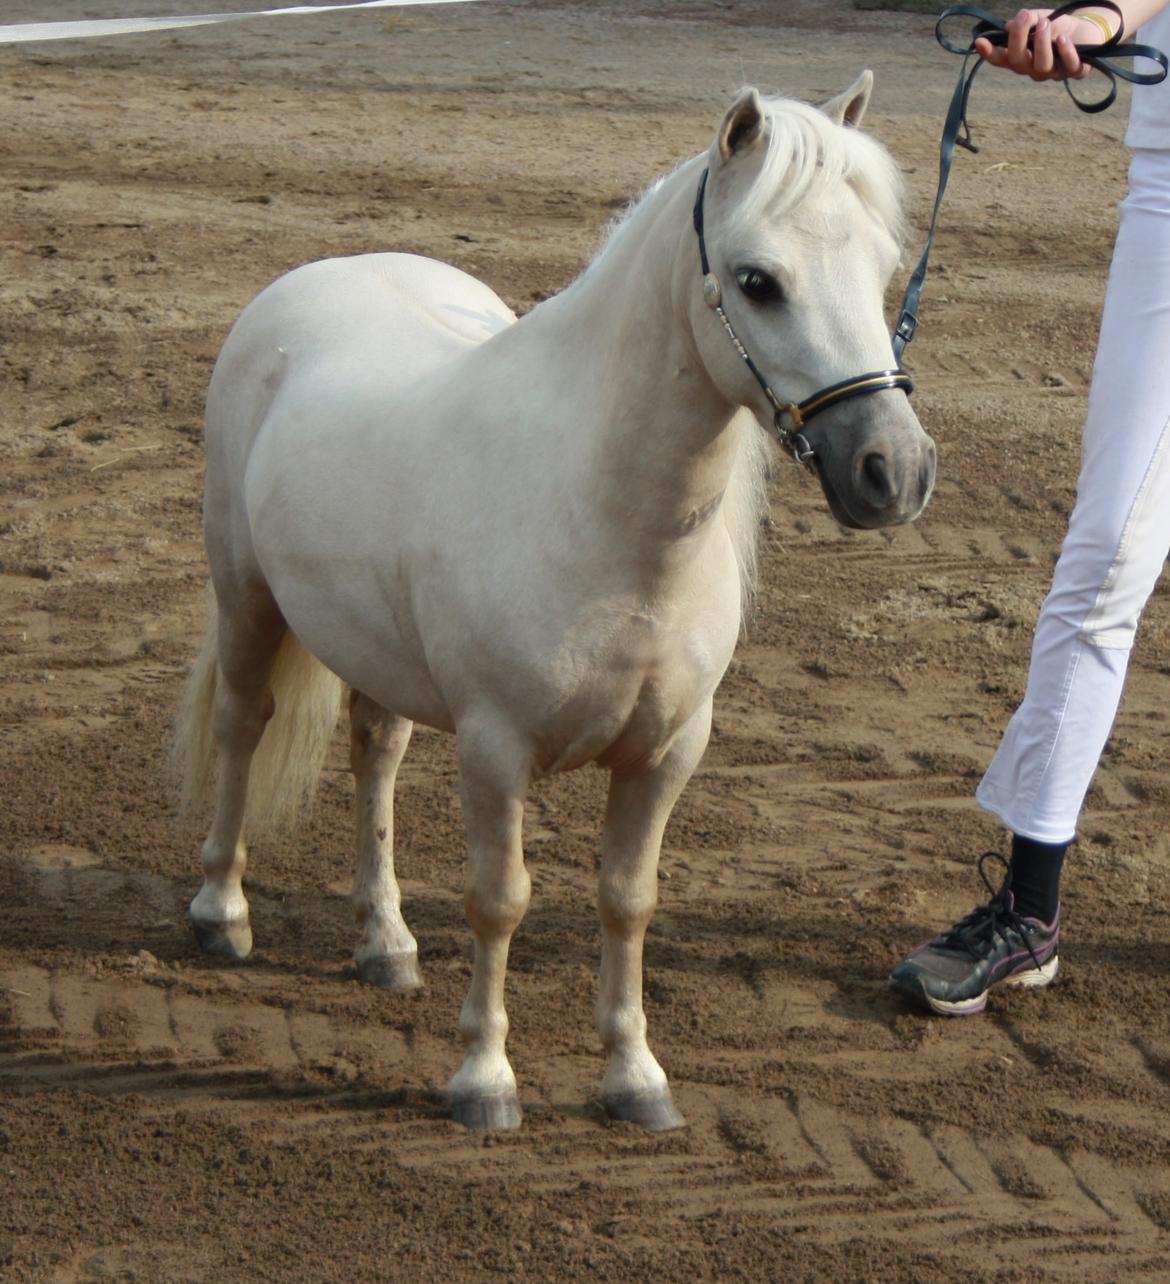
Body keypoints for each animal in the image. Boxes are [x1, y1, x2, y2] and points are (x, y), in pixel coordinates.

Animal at [173, 75, 940, 1129]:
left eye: (881, 266)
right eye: (756, 281)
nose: (892, 472)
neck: (606, 520)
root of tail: (317, 280)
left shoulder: (669, 752)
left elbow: (627, 899)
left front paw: (635, 1077)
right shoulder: (497, 749)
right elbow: (500, 901)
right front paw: (484, 1080)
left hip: (379, 657)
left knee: (375, 760)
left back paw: (386, 944)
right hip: (247, 598)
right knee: (242, 727)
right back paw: (223, 914)